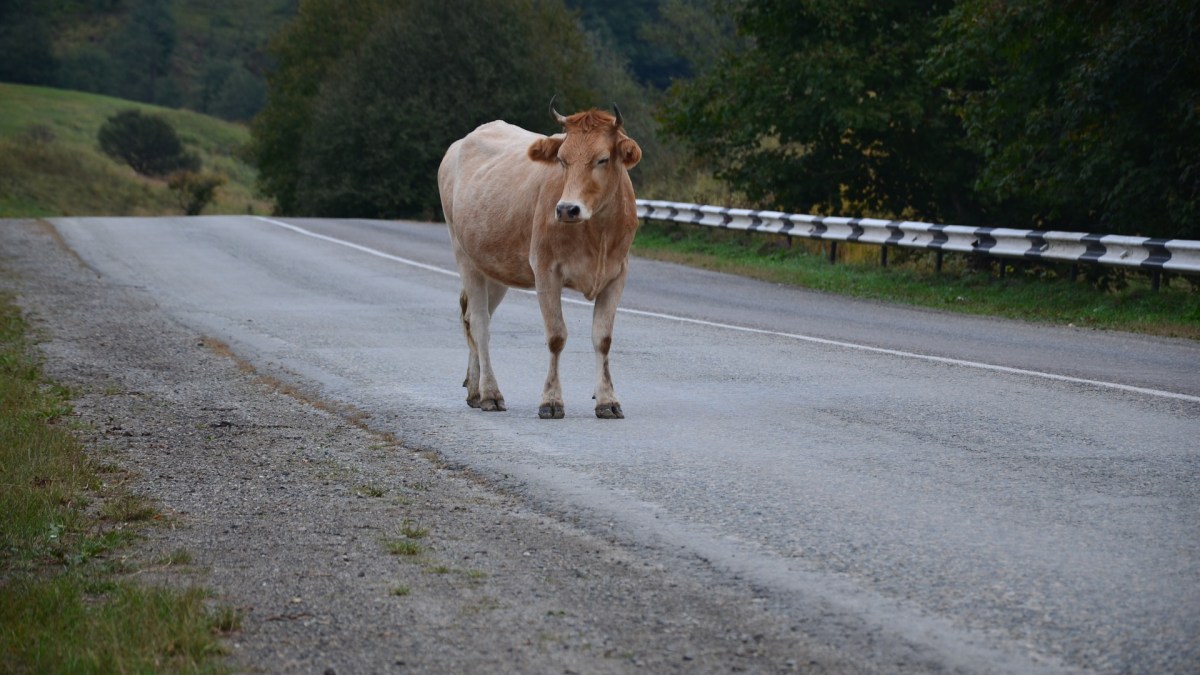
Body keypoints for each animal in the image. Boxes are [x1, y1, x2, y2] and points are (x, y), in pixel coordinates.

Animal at [439, 102, 643, 417]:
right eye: (561, 159)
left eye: (603, 159)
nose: (567, 209)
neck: (597, 232)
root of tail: (460, 143)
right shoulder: (546, 271)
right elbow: (556, 336)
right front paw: (551, 400)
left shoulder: (616, 275)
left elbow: (603, 339)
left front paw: (607, 400)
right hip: (464, 255)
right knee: (480, 323)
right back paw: (490, 394)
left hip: (495, 267)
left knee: (475, 317)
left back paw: (474, 389)